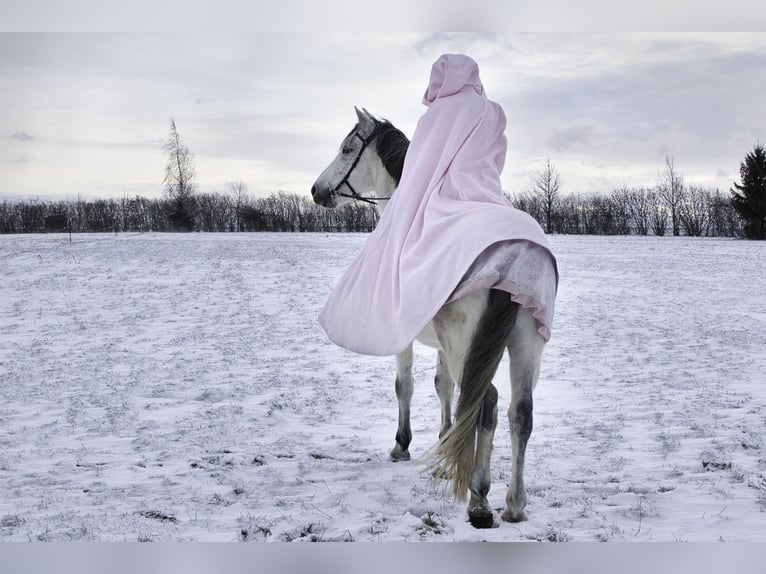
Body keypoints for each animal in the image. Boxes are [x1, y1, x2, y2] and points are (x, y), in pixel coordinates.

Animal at [314, 108, 560, 532]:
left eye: (346, 149)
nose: (316, 190)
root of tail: (510, 251)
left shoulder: (412, 338)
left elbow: (406, 386)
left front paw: (402, 444)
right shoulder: (446, 346)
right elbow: (444, 388)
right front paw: (447, 448)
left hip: (471, 346)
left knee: (487, 402)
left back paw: (480, 499)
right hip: (526, 346)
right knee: (520, 412)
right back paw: (514, 504)